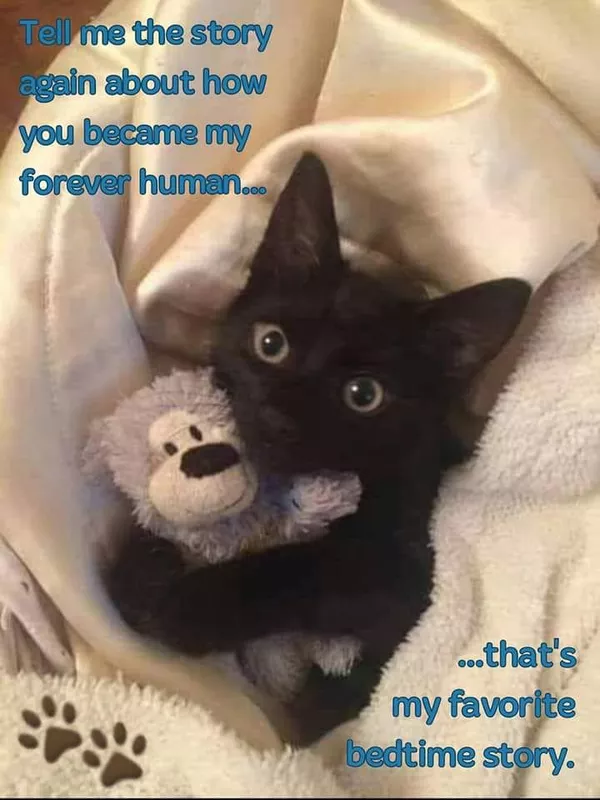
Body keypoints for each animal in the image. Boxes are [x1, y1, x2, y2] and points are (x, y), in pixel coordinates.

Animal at [104, 155, 528, 744]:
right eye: (270, 343)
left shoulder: (412, 575)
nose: (277, 417)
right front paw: (141, 565)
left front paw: (185, 608)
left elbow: (303, 566)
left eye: (364, 395)